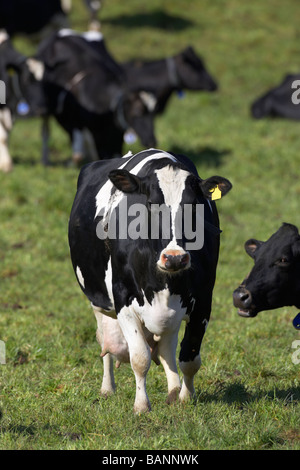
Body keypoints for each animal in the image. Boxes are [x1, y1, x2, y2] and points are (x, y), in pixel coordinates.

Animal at [36, 28, 157, 165]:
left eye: (153, 114)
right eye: (137, 113)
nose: (151, 141)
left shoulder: (115, 136)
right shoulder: (81, 125)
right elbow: (80, 154)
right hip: (45, 109)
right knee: (46, 131)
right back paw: (45, 160)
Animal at [68, 147, 232, 412]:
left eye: (194, 206)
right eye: (152, 204)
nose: (175, 258)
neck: (165, 281)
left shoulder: (203, 302)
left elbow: (190, 358)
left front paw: (185, 397)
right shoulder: (123, 300)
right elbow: (140, 358)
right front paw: (141, 405)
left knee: (166, 348)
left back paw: (173, 388)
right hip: (99, 303)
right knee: (105, 343)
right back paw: (107, 388)